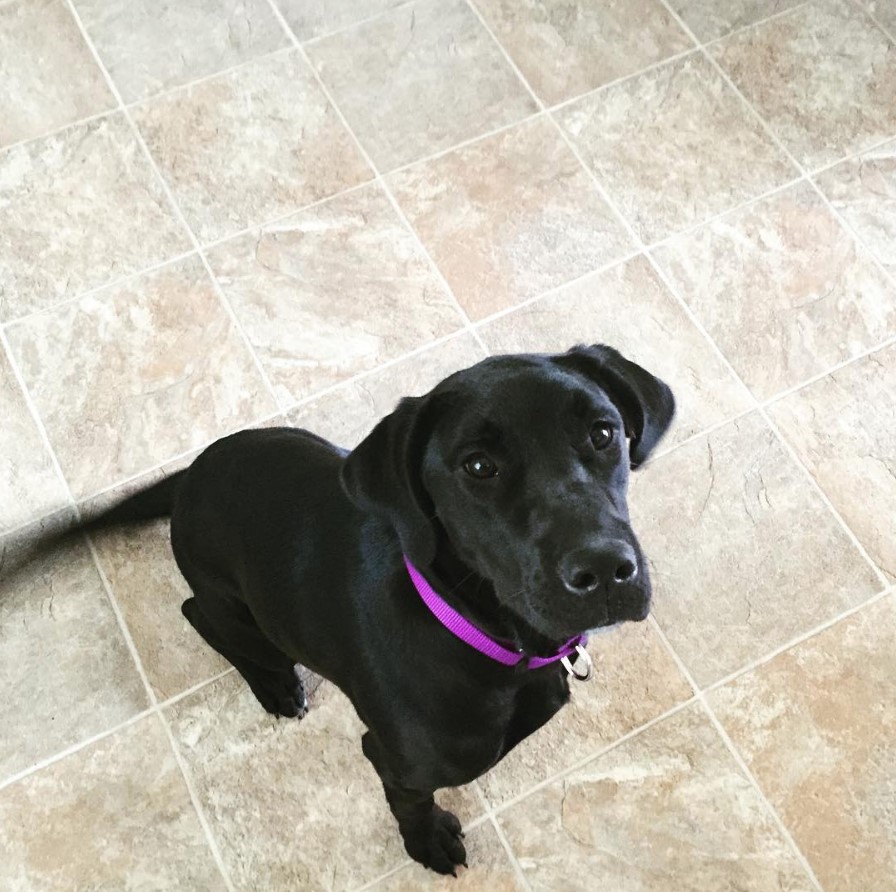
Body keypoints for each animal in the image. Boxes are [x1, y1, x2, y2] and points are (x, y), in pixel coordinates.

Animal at [87, 344, 672, 876]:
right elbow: (410, 804)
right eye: (479, 465)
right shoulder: (394, 759)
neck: (473, 629)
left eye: (603, 433)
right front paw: (428, 842)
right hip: (243, 613)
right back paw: (275, 685)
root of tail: (187, 477)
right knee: (198, 614)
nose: (605, 570)